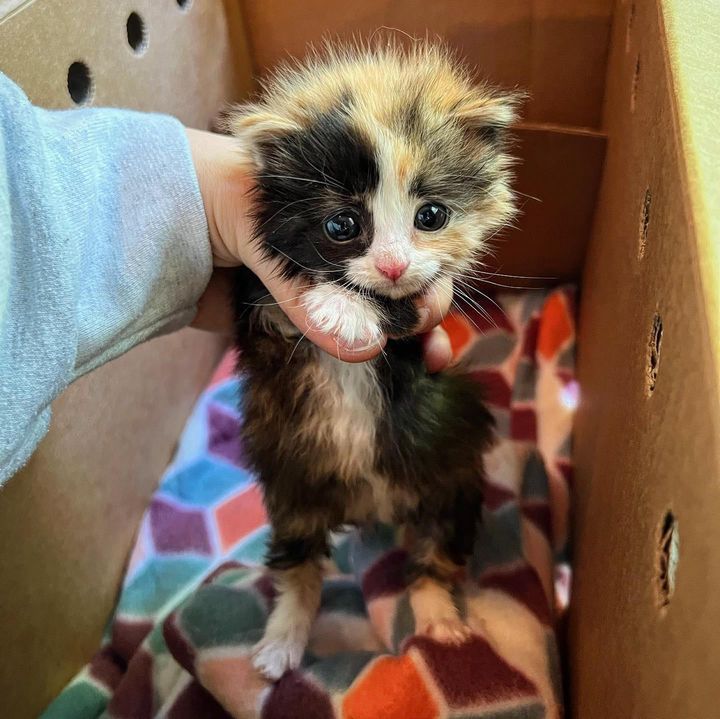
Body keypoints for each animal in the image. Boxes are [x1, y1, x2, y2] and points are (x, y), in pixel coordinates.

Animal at [229, 39, 516, 680]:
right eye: (343, 224)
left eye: (431, 215)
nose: (390, 265)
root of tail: (370, 503)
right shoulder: (255, 303)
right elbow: (278, 310)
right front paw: (339, 307)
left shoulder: (426, 320)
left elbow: (409, 305)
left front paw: (353, 309)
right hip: (294, 483)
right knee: (298, 561)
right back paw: (282, 641)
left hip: (449, 472)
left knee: (435, 551)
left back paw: (440, 622)